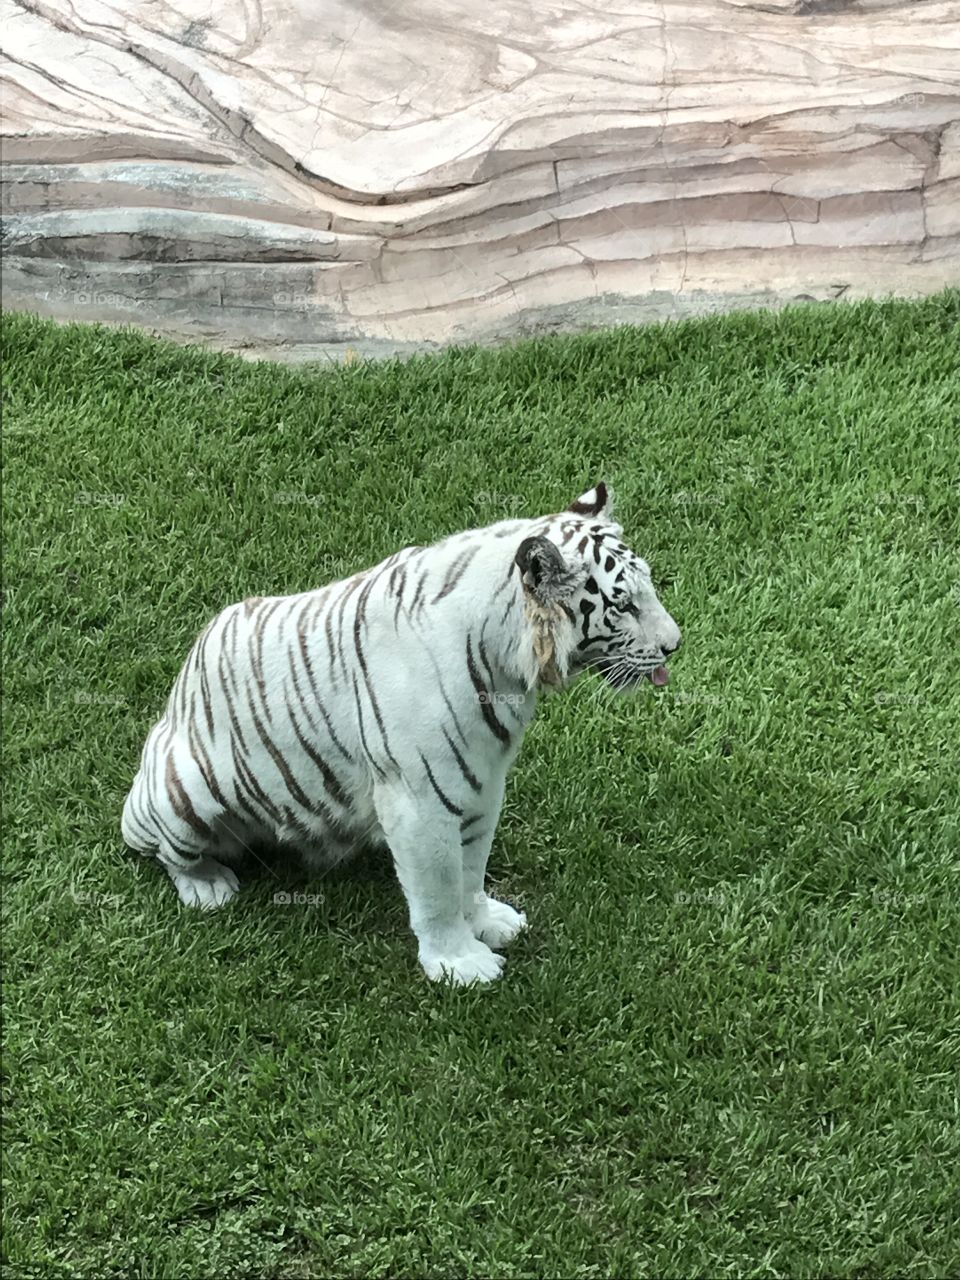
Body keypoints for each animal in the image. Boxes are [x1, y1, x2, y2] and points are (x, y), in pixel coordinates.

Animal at [122, 483, 681, 985]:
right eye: (625, 605)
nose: (675, 646)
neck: (507, 669)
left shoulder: (483, 785)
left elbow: (471, 868)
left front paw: (487, 922)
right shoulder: (421, 801)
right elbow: (438, 890)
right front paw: (458, 964)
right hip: (188, 791)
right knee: (164, 849)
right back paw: (208, 886)